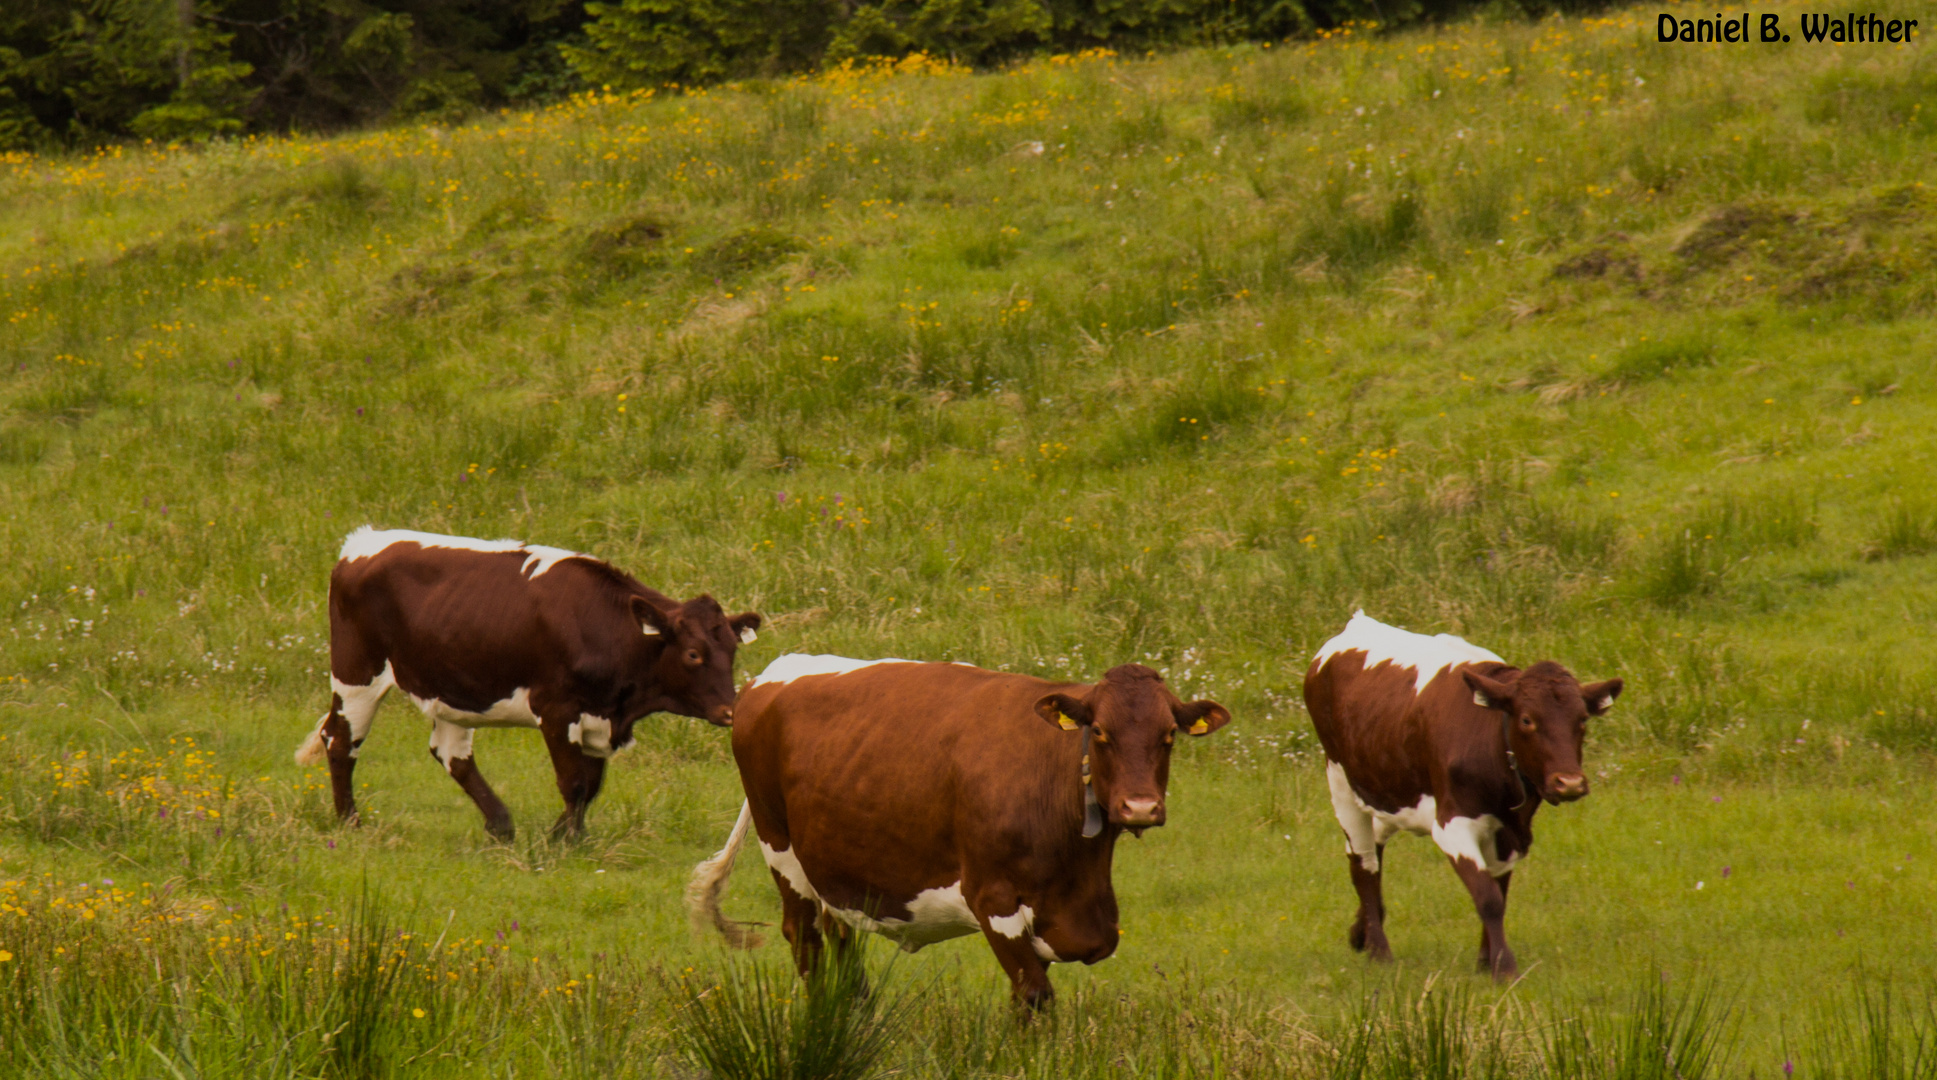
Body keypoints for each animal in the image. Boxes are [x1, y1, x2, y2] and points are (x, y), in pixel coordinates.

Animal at [298, 530, 759, 843]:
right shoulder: (557, 708)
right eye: (693, 654)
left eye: (732, 649)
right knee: (340, 740)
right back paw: (351, 822)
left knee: (451, 754)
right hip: (357, 673)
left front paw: (565, 834)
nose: (730, 711)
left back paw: (500, 824)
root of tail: (364, 541)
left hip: (451, 684)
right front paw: (565, 842)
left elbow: (590, 785)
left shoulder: (598, 718)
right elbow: (574, 783)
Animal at [681, 658, 1224, 1014]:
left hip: (832, 866)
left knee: (841, 940)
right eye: (1103, 732)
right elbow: (1034, 997)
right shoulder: (993, 897)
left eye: (1168, 735)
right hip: (780, 846)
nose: (1141, 807)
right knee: (806, 939)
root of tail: (769, 675)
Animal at [1301, 615, 1619, 987]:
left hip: (1387, 790)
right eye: (1527, 719)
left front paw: (1485, 961)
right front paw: (1504, 967)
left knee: (1374, 844)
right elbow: (1489, 898)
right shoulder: (1452, 825)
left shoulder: (1511, 832)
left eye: (1581, 720)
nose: (1569, 782)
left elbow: (1499, 892)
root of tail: (1358, 622)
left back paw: (1361, 932)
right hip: (1341, 781)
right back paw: (1379, 951)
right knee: (1363, 863)